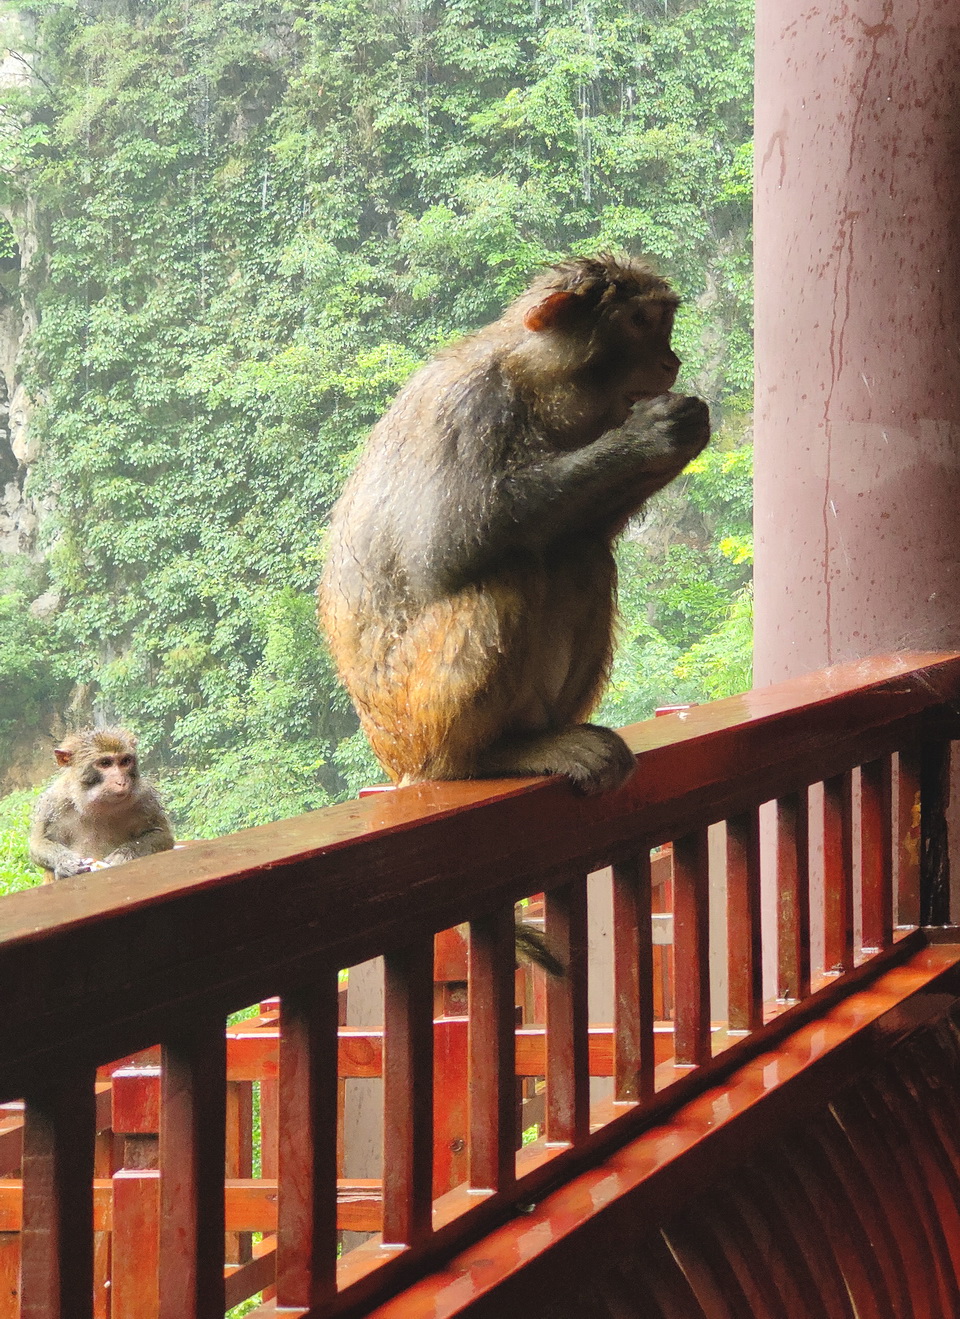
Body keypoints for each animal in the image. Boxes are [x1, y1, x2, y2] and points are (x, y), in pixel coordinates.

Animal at [29, 728, 176, 881]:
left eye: (125, 761)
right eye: (105, 763)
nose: (121, 782)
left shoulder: (145, 797)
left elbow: (162, 835)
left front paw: (122, 856)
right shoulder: (53, 801)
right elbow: (39, 843)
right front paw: (66, 863)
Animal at [319, 253, 706, 796]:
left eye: (661, 322)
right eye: (640, 322)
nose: (672, 361)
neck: (531, 384)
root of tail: (398, 763)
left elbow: (589, 532)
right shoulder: (472, 408)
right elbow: (441, 550)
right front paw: (649, 437)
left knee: (579, 553)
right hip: (412, 719)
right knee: (508, 572)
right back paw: (478, 759)